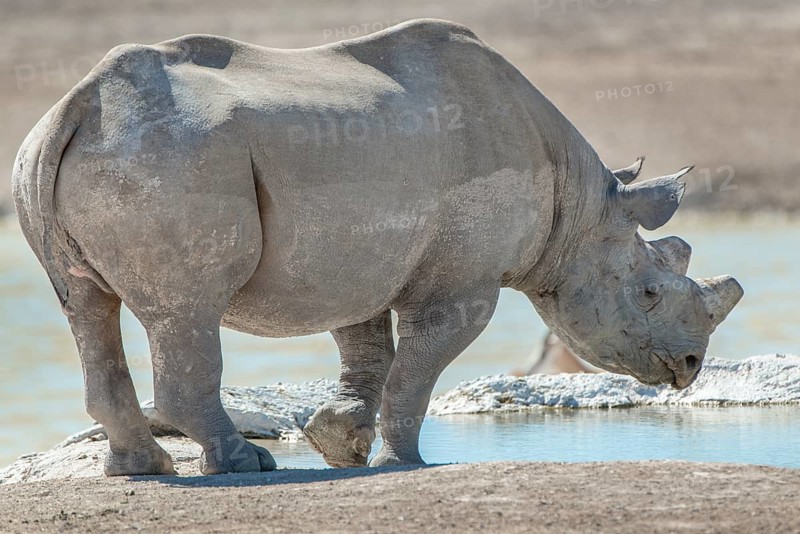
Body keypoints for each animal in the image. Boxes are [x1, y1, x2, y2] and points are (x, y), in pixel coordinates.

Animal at [12, 19, 742, 475]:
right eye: (648, 292)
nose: (689, 365)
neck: (581, 211)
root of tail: (77, 105)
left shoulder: (356, 252)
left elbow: (367, 350)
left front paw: (340, 445)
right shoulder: (462, 284)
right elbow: (417, 365)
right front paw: (402, 461)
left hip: (71, 158)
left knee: (87, 307)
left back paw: (143, 468)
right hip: (169, 157)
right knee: (185, 312)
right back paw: (243, 464)